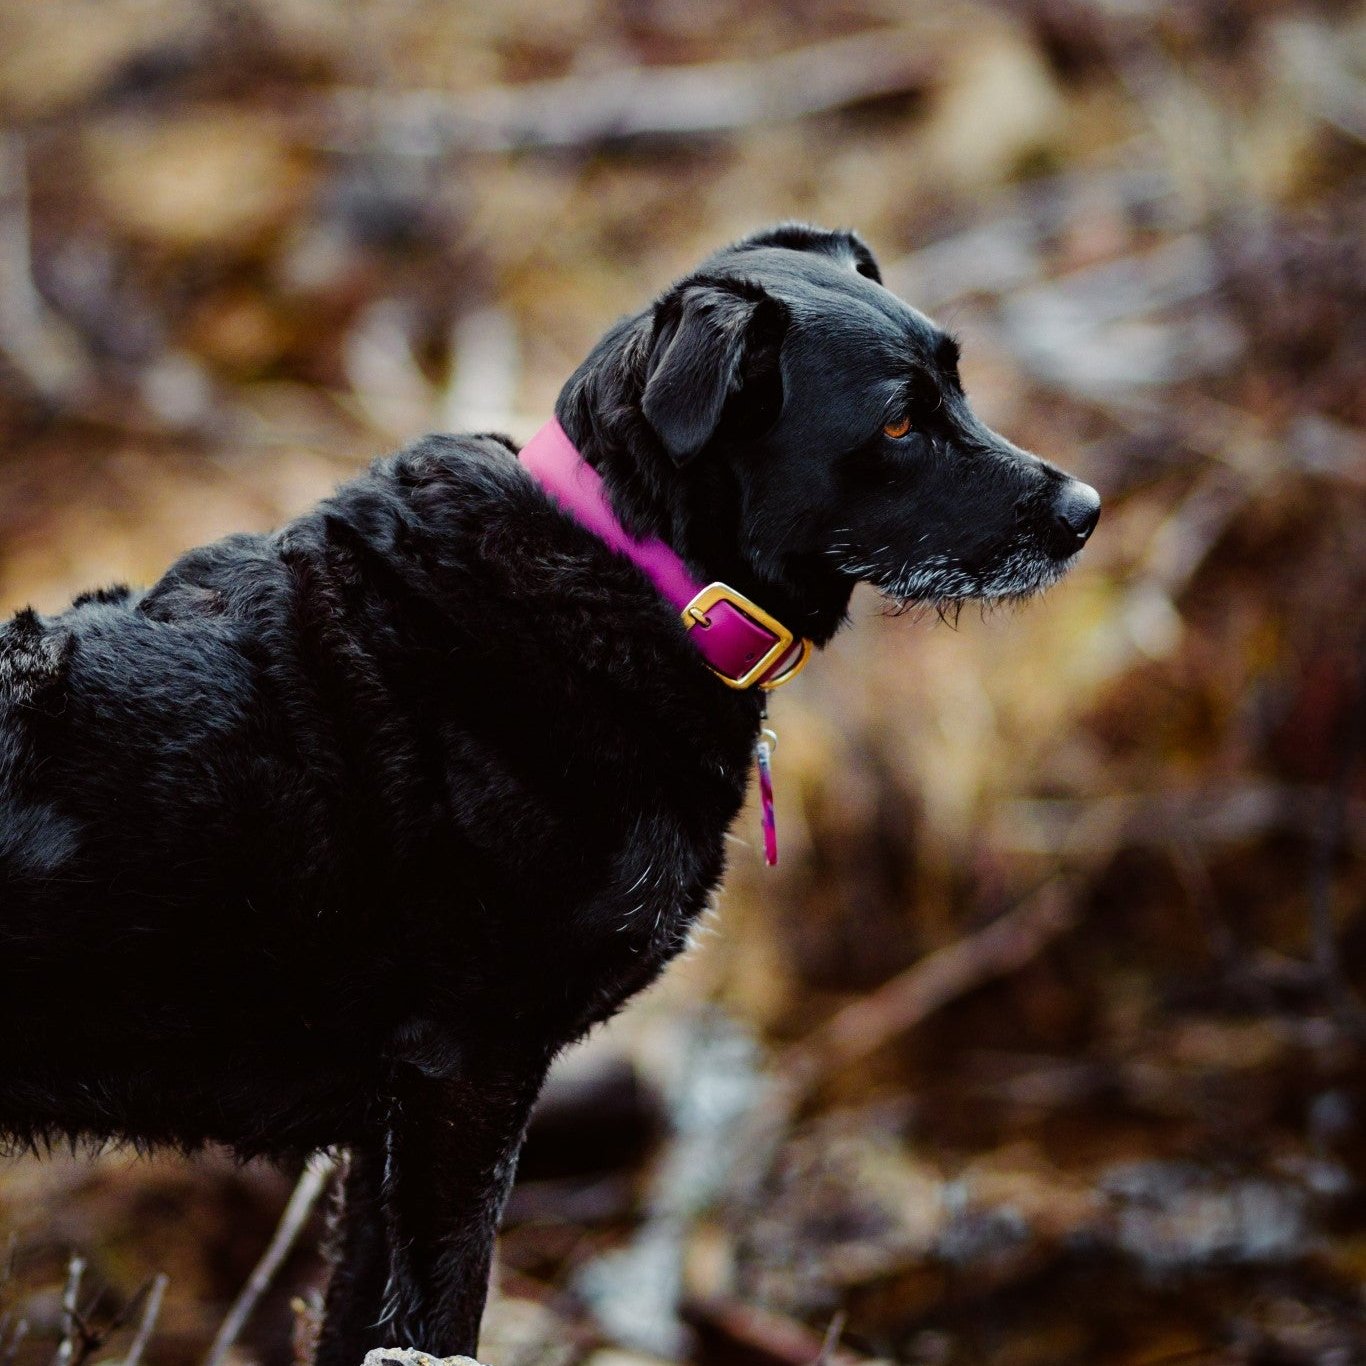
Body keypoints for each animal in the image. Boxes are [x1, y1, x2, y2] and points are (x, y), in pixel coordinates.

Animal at [0, 224, 1092, 1355]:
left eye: (956, 385)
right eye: (896, 419)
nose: (1086, 511)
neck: (638, 574)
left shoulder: (386, 1124)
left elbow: (363, 1320)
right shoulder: (466, 1075)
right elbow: (443, 1312)